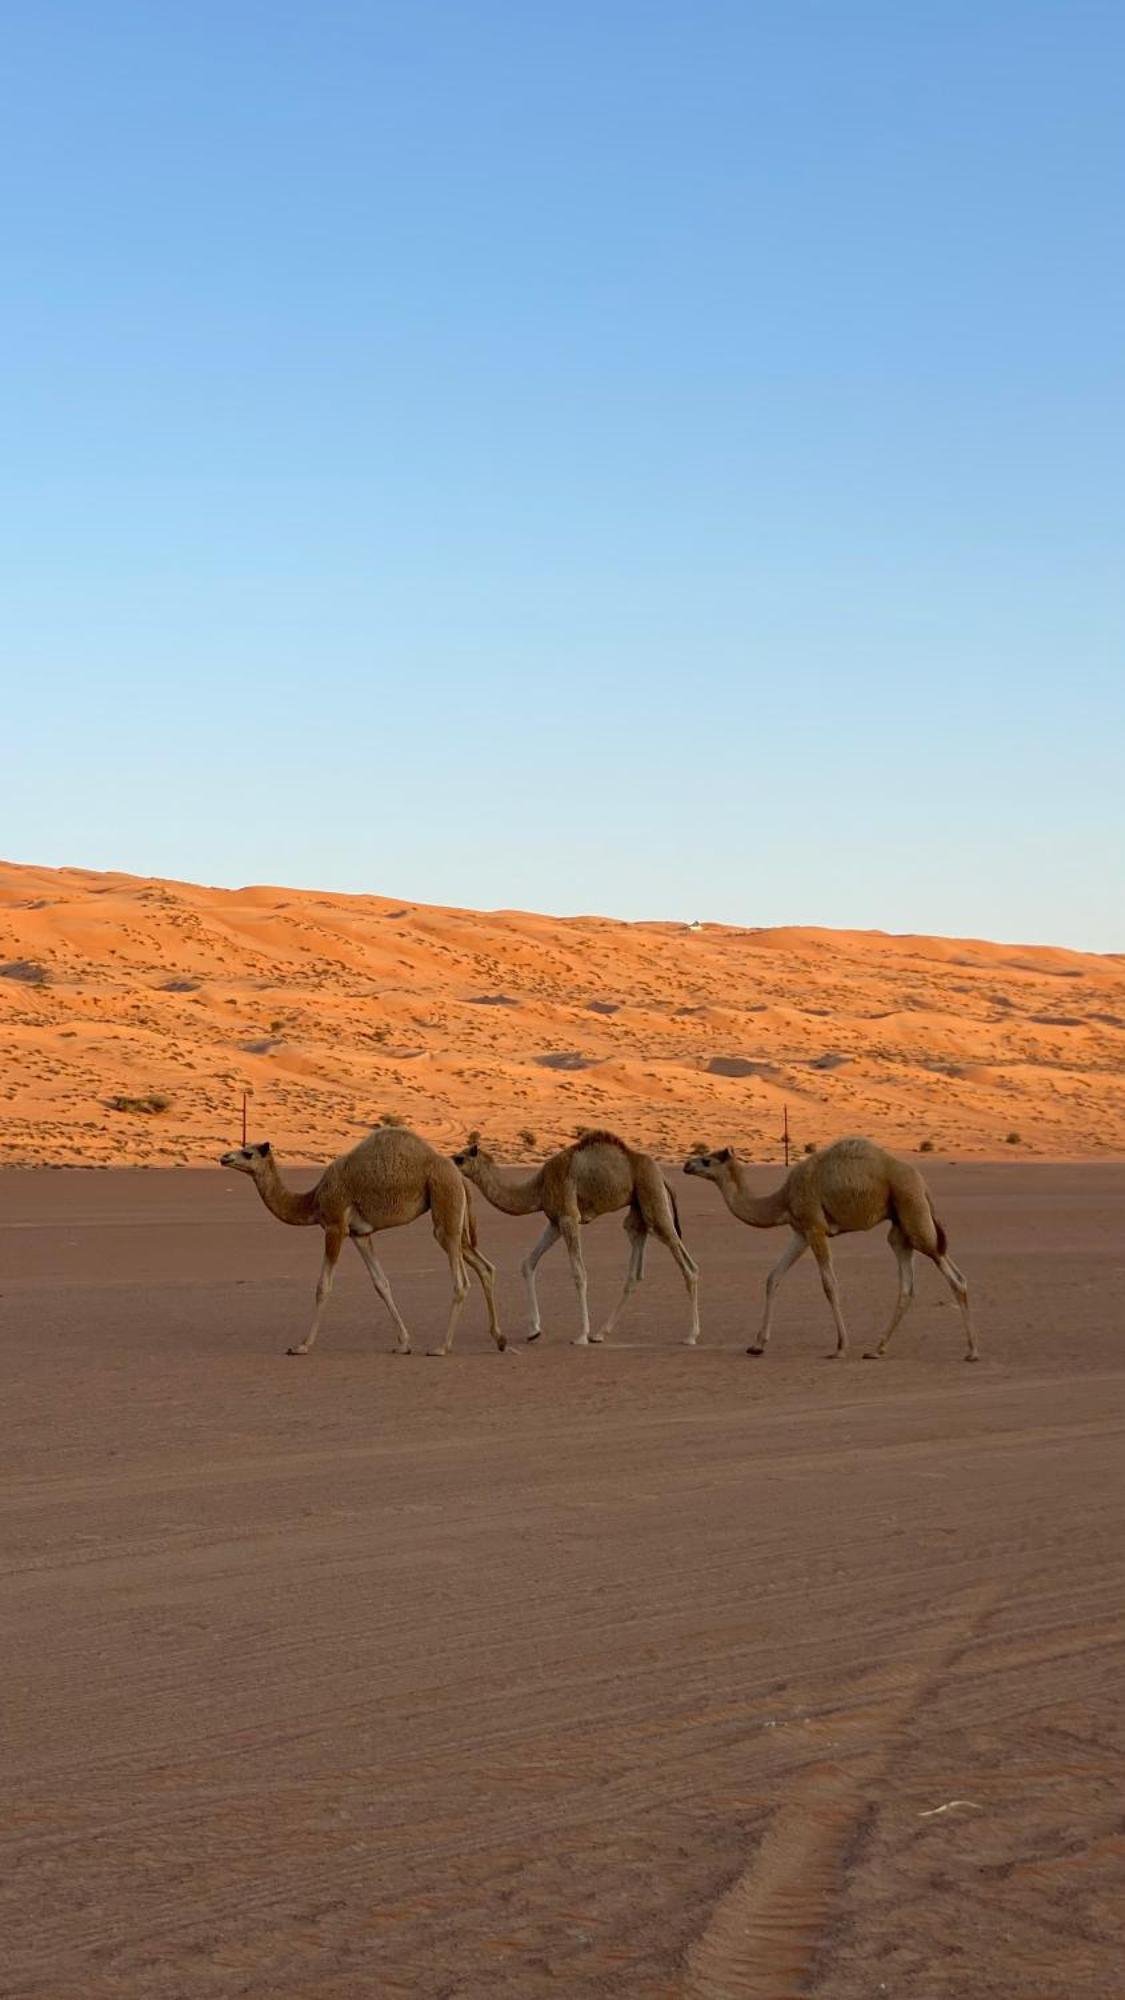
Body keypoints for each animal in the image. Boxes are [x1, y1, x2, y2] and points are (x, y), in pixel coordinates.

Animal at [215, 1128, 504, 1360]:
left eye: (248, 1153)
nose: (224, 1157)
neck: (313, 1200)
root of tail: (459, 1177)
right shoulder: (360, 1234)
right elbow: (381, 1284)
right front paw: (403, 1344)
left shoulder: (335, 1226)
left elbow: (323, 1286)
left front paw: (301, 1346)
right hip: (455, 1220)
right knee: (485, 1267)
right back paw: (500, 1339)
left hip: (445, 1209)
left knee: (461, 1281)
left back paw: (442, 1347)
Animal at [448, 1136, 696, 1352]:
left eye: (460, 1158)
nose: (447, 1162)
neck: (538, 1187)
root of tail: (663, 1175)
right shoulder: (555, 1221)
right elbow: (528, 1263)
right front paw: (534, 1330)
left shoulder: (569, 1217)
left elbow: (579, 1273)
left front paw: (581, 1335)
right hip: (638, 1211)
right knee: (635, 1270)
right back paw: (600, 1334)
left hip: (653, 1199)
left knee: (688, 1265)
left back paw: (691, 1336)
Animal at [680, 1144, 976, 1360]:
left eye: (707, 1161)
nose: (686, 1165)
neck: (782, 1199)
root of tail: (923, 1184)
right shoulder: (800, 1232)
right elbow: (773, 1278)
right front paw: (757, 1345)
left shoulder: (815, 1227)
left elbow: (829, 1284)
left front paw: (840, 1347)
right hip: (901, 1229)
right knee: (908, 1286)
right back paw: (876, 1350)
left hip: (913, 1212)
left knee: (955, 1277)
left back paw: (972, 1351)